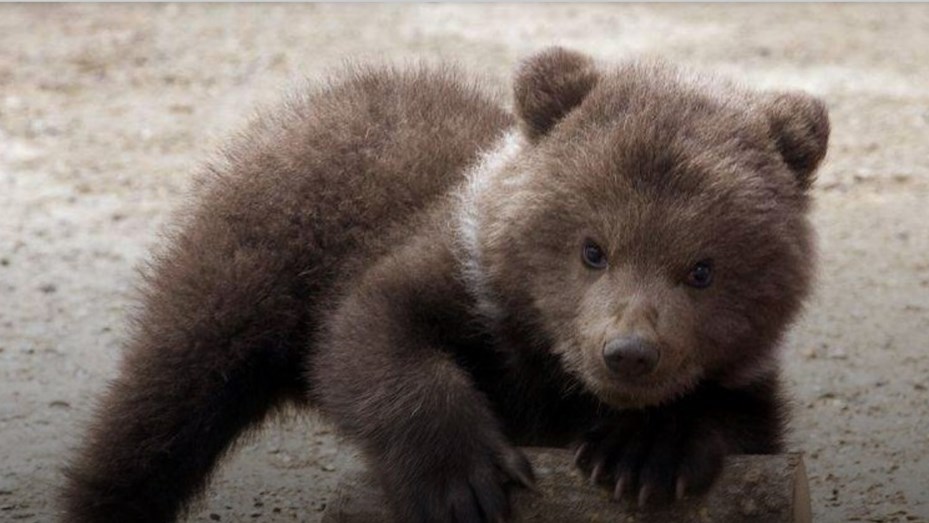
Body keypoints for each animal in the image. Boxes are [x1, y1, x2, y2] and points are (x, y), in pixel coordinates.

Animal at [62, 47, 829, 523]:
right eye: (592, 249)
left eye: (702, 268)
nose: (629, 352)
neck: (555, 375)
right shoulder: (456, 277)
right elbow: (374, 336)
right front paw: (464, 480)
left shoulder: (743, 374)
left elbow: (739, 420)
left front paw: (643, 452)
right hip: (248, 269)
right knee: (164, 400)